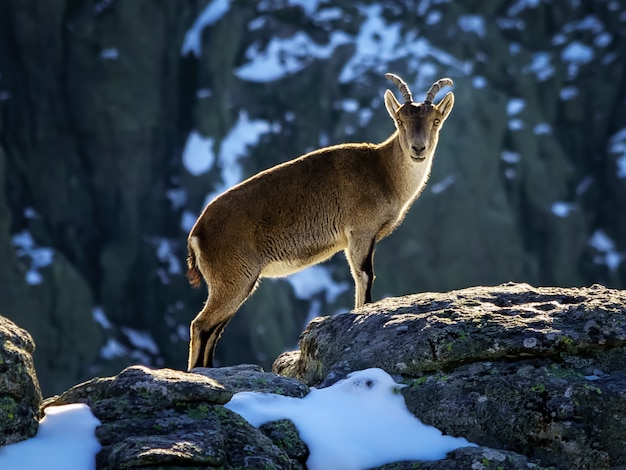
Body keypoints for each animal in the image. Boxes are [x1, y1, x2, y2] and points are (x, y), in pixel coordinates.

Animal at [185, 71, 454, 370]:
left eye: (435, 121)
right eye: (400, 121)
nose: (418, 149)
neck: (383, 171)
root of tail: (197, 232)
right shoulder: (360, 231)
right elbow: (364, 276)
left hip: (236, 282)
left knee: (214, 329)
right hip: (234, 278)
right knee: (201, 325)